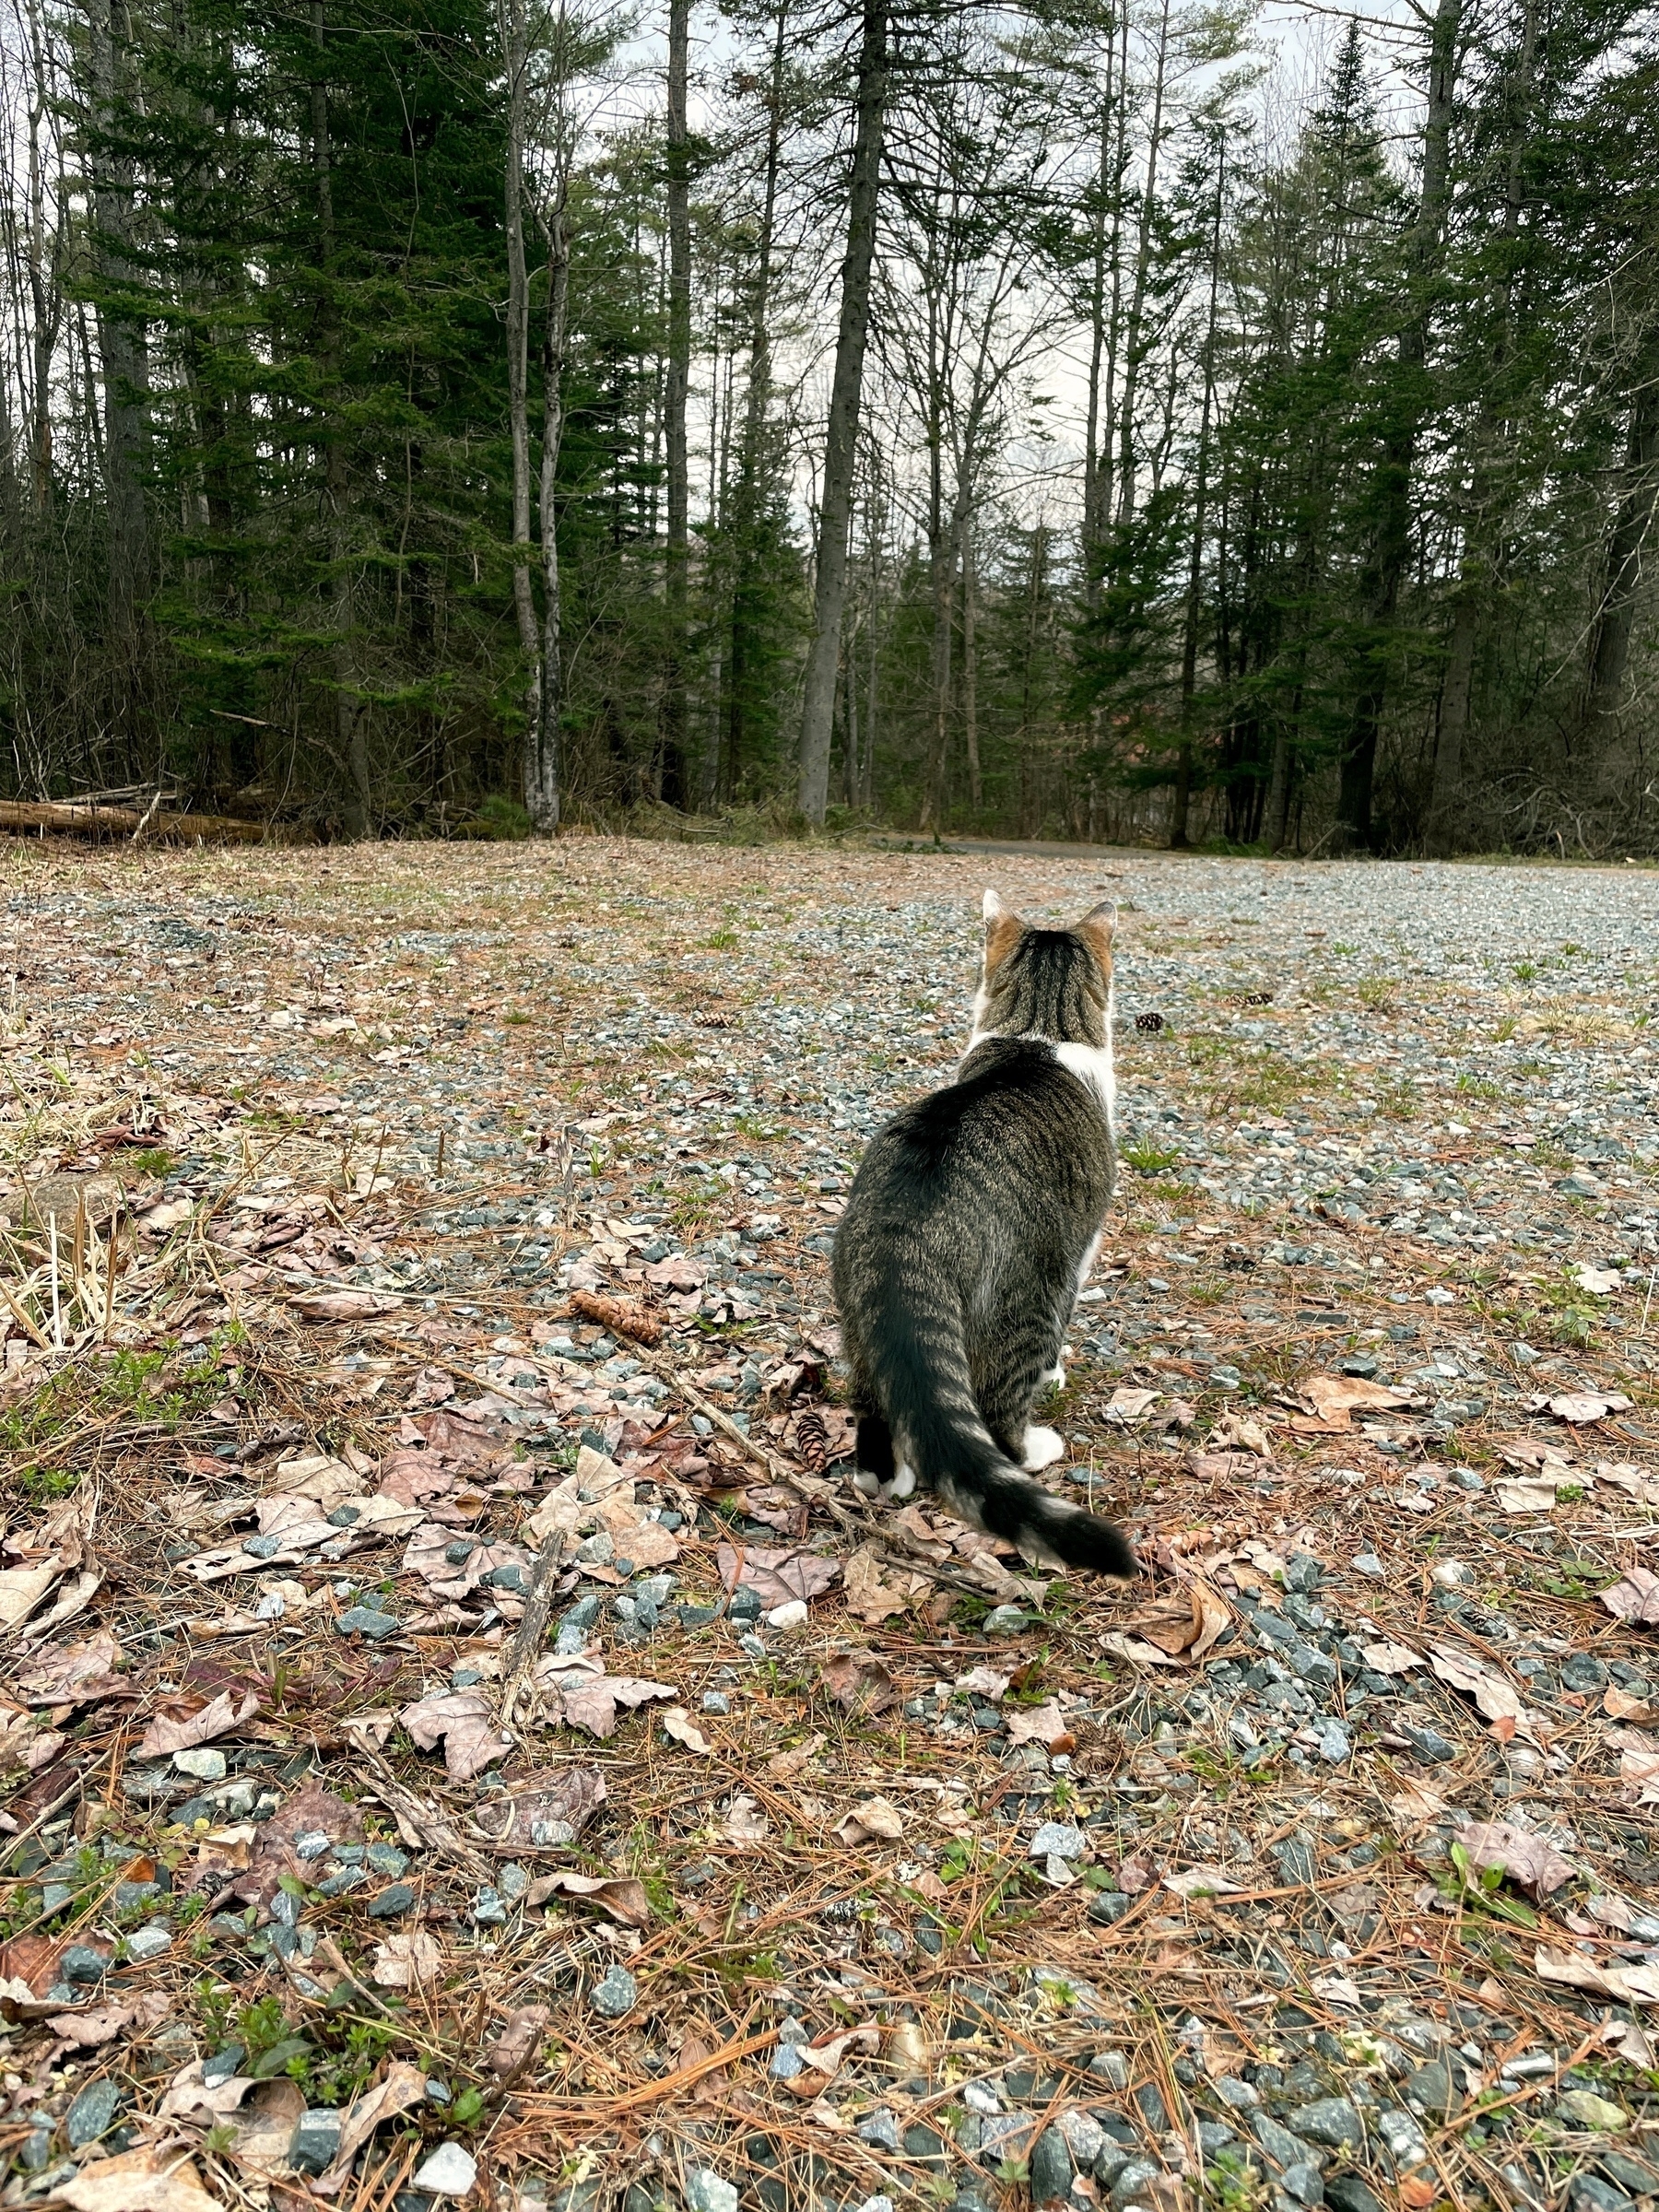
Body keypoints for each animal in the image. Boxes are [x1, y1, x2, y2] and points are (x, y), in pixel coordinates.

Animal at [831, 885, 1141, 1574]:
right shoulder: (1080, 1251)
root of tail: (905, 1226)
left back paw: (888, 1477)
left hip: (859, 1315)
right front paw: (1058, 1374)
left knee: (875, 1407)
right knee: (1001, 1415)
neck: (1038, 1033)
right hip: (1028, 1293)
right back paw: (1034, 1449)